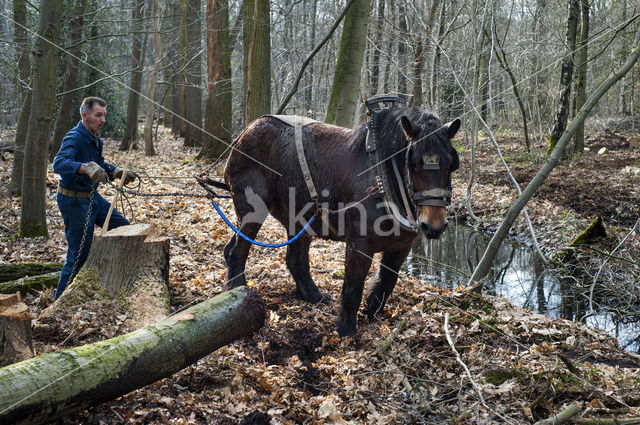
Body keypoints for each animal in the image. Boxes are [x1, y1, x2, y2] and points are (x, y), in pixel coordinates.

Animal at [222, 107, 458, 336]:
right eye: (415, 163)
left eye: (450, 164)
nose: (434, 226)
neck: (382, 179)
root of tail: (247, 131)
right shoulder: (359, 245)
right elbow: (353, 286)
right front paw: (346, 331)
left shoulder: (401, 247)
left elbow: (386, 283)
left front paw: (372, 314)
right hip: (252, 211)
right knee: (236, 251)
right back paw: (238, 295)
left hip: (300, 219)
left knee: (295, 259)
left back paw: (313, 296)